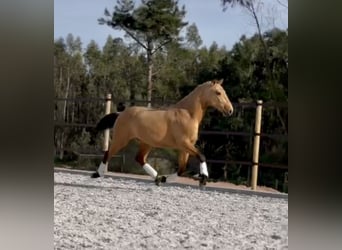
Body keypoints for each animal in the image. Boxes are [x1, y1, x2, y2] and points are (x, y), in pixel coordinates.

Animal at [92, 79, 234, 187]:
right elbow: (201, 156)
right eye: (218, 92)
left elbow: (182, 169)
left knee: (140, 158)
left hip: (146, 143)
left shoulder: (185, 148)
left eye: (224, 92)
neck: (187, 114)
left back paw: (158, 178)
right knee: (108, 153)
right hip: (121, 139)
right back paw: (98, 174)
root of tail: (121, 113)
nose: (230, 110)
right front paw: (204, 177)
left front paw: (166, 179)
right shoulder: (184, 144)